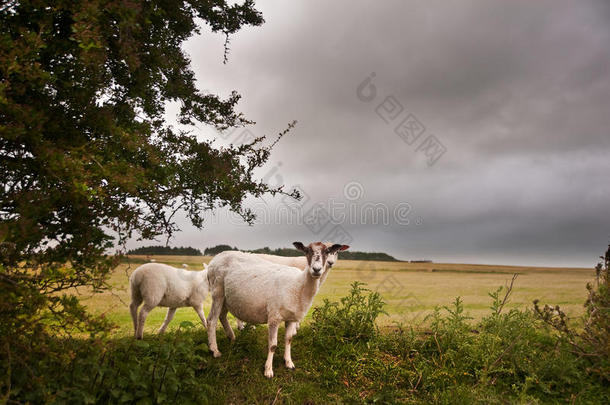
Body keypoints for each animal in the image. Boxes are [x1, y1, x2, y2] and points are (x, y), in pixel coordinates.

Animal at [205, 240, 344, 376]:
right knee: (211, 320)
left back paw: (232, 337)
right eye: (307, 251)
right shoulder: (274, 317)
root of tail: (216, 258)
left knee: (222, 316)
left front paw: (289, 362)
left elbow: (289, 339)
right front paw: (268, 370)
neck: (298, 285)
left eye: (328, 251)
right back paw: (215, 350)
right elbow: (273, 345)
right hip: (217, 291)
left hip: (226, 297)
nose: (316, 269)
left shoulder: (292, 318)